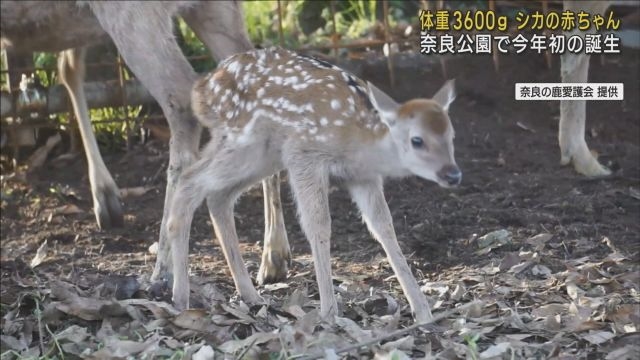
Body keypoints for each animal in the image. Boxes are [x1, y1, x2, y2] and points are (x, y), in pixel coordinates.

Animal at [169, 47, 460, 320]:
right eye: (417, 140)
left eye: (451, 135)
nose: (453, 175)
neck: (360, 140)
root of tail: (202, 88)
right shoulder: (304, 155)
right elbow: (318, 224)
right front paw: (329, 312)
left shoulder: (364, 177)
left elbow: (383, 225)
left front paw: (423, 311)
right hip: (246, 143)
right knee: (190, 181)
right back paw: (180, 298)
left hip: (264, 154)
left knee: (218, 196)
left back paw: (250, 294)